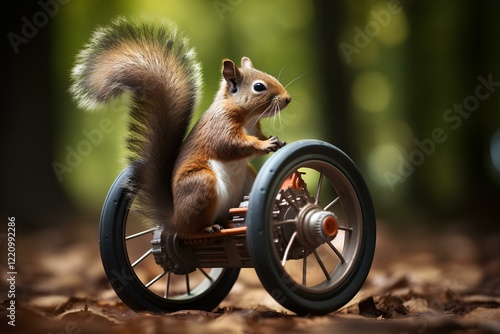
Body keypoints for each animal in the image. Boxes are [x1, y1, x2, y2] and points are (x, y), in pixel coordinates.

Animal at [69, 17, 290, 237]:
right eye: (259, 87)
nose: (287, 99)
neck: (248, 118)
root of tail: (175, 220)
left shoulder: (254, 129)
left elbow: (256, 138)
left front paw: (275, 140)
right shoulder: (220, 126)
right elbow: (230, 145)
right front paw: (265, 145)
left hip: (247, 179)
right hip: (201, 183)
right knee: (191, 230)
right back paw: (206, 227)